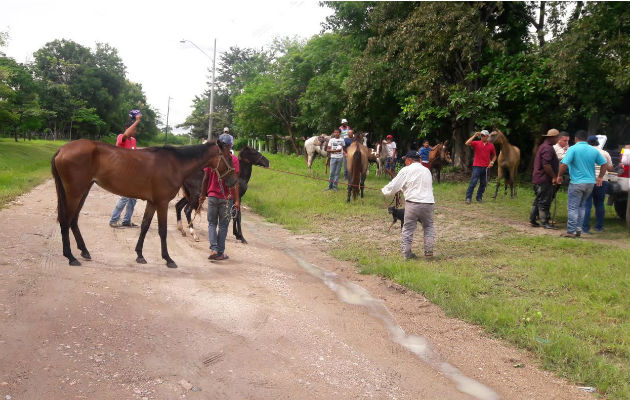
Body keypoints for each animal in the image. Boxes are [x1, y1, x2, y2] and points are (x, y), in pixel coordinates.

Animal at [51, 140, 239, 268]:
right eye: (229, 157)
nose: (234, 181)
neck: (175, 164)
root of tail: (62, 149)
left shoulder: (152, 202)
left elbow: (145, 226)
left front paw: (140, 255)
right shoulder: (162, 202)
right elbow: (162, 230)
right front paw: (168, 259)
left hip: (83, 191)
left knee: (73, 220)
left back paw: (84, 251)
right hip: (74, 193)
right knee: (66, 221)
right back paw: (71, 257)